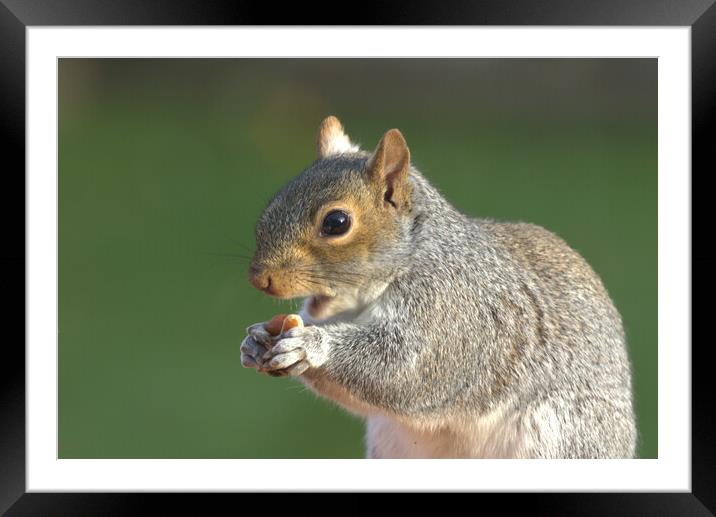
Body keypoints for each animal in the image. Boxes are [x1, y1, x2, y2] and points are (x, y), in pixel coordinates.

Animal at [241, 116, 636, 456]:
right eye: (275, 202)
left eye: (336, 222)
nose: (259, 278)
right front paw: (256, 340)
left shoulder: (453, 314)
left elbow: (406, 371)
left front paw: (310, 344)